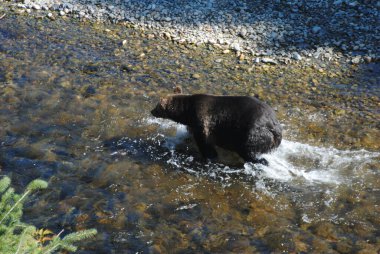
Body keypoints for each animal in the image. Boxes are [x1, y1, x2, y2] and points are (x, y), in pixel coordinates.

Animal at [150, 87, 280, 165]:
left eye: (157, 106)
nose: (151, 111)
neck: (187, 113)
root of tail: (275, 126)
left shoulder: (202, 120)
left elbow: (204, 141)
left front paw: (210, 155)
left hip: (252, 133)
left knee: (248, 150)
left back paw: (260, 161)